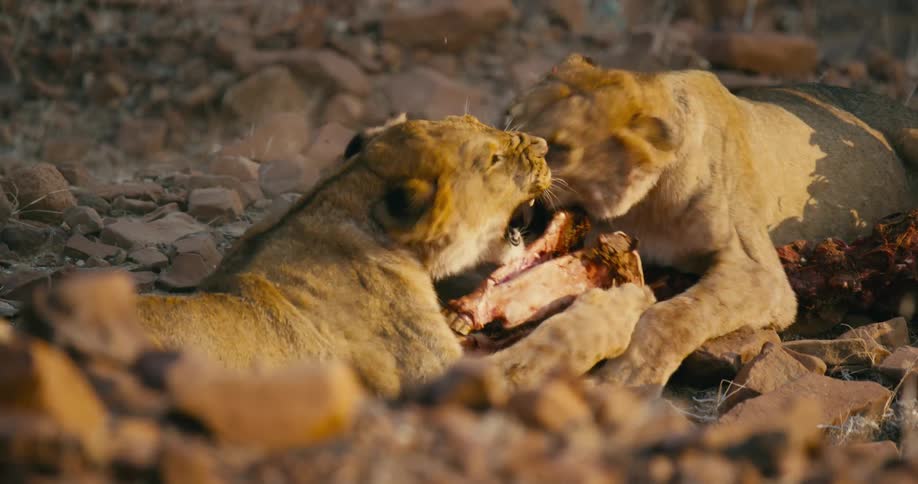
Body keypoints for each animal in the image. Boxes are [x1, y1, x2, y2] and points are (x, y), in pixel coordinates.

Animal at [505, 54, 918, 390]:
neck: (642, 205)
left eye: (560, 147)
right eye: (512, 118)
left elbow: (672, 316)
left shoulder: (760, 273)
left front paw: (625, 379)